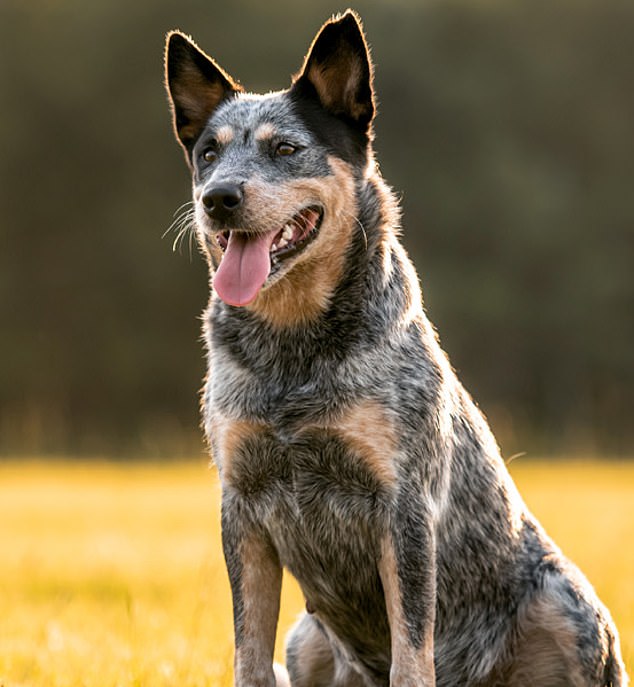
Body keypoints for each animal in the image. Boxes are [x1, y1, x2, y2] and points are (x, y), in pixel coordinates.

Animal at [164, 10, 628, 687]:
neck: (293, 355)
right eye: (208, 152)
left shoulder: (403, 505)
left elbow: (412, 649)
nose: (218, 198)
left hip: (566, 604)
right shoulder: (242, 508)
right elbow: (248, 651)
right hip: (307, 638)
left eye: (285, 148)